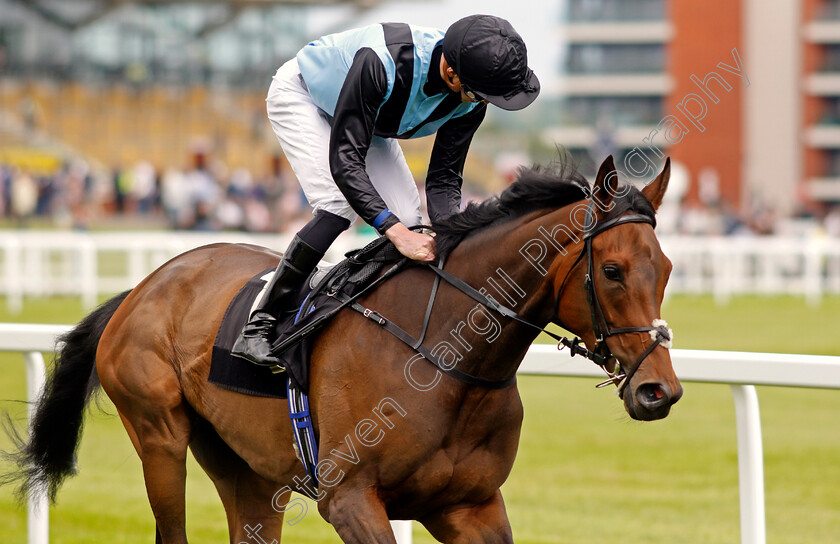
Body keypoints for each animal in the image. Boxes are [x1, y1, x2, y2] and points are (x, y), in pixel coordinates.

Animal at [1, 155, 684, 540]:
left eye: (668, 268)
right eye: (614, 270)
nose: (660, 391)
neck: (447, 361)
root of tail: (143, 287)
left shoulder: (470, 504)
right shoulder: (350, 498)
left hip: (245, 466)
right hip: (159, 435)